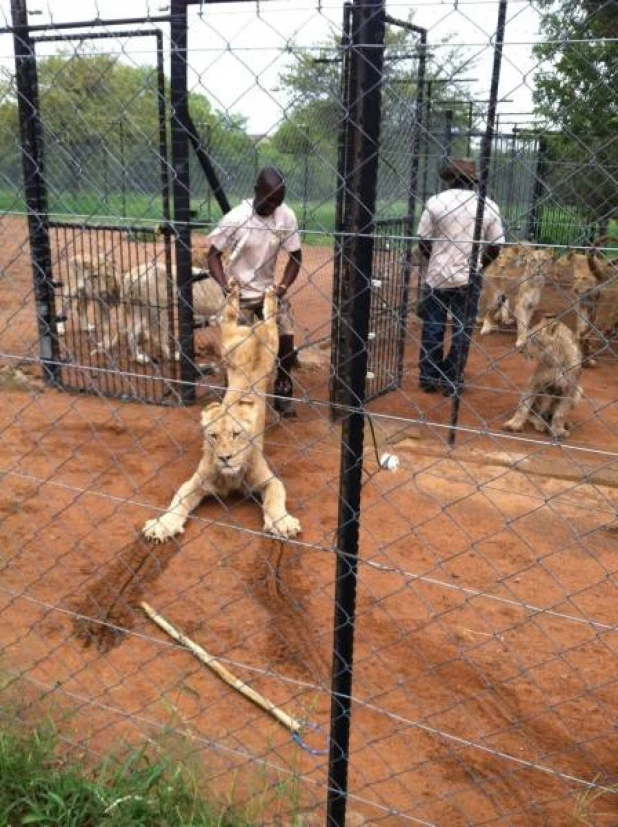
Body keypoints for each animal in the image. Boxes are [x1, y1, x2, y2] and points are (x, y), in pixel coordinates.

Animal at [142, 284, 300, 544]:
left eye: (237, 434)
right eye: (214, 436)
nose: (225, 458)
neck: (231, 476)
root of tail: (252, 330)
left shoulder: (269, 480)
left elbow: (275, 498)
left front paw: (283, 523)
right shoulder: (196, 481)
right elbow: (177, 500)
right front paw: (163, 525)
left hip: (271, 341)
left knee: (269, 317)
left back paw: (268, 295)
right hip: (228, 343)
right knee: (230, 315)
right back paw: (234, 290)